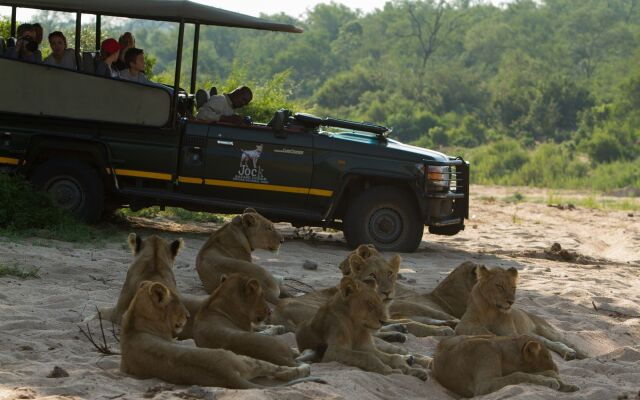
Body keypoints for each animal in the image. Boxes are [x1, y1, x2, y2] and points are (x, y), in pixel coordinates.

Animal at [120, 282, 312, 388]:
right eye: (177, 303)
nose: (188, 316)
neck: (133, 324)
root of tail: (227, 373)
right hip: (245, 358)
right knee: (282, 370)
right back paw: (304, 365)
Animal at [296, 276, 430, 380]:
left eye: (380, 302)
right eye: (370, 304)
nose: (384, 321)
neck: (355, 326)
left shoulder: (367, 347)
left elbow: (392, 357)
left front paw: (413, 371)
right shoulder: (333, 351)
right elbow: (367, 357)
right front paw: (390, 370)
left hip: (381, 343)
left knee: (403, 351)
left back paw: (414, 358)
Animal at [432, 334, 576, 396]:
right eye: (547, 357)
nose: (558, 369)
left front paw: (566, 385)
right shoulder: (484, 384)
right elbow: (519, 375)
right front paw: (551, 381)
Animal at [456, 266, 584, 360]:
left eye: (513, 287)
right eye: (499, 286)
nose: (511, 302)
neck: (491, 309)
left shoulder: (511, 332)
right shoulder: (463, 325)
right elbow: (482, 330)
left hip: (547, 330)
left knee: (564, 341)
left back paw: (577, 353)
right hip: (533, 334)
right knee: (547, 342)